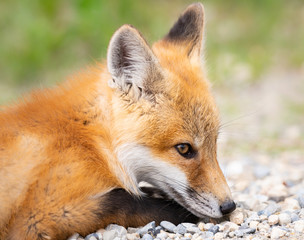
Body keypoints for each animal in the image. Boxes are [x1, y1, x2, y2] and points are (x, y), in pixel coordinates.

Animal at [0, 2, 235, 240]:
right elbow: (126, 201)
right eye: (184, 149)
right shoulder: (38, 216)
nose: (229, 206)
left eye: (214, 143)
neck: (94, 144)